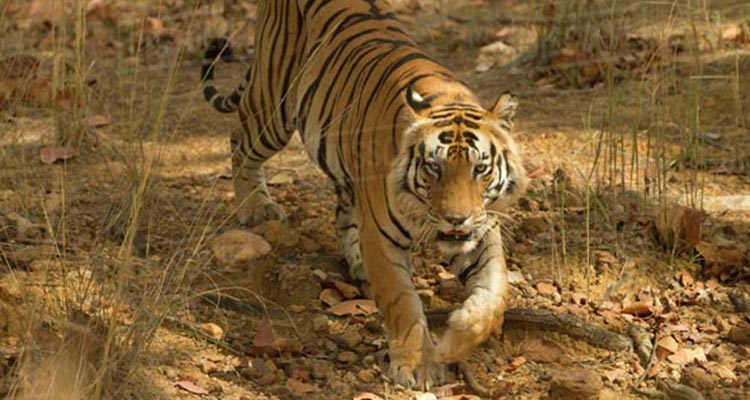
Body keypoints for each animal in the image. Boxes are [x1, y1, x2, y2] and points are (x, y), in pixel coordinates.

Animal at [201, 0, 526, 390]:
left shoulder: (481, 230)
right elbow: (403, 303)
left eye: (480, 169)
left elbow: (496, 293)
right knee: (239, 139)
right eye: (434, 167)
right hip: (274, 104)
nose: (456, 219)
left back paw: (356, 262)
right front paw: (418, 366)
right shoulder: (384, 239)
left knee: (344, 209)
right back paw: (256, 206)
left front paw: (455, 337)